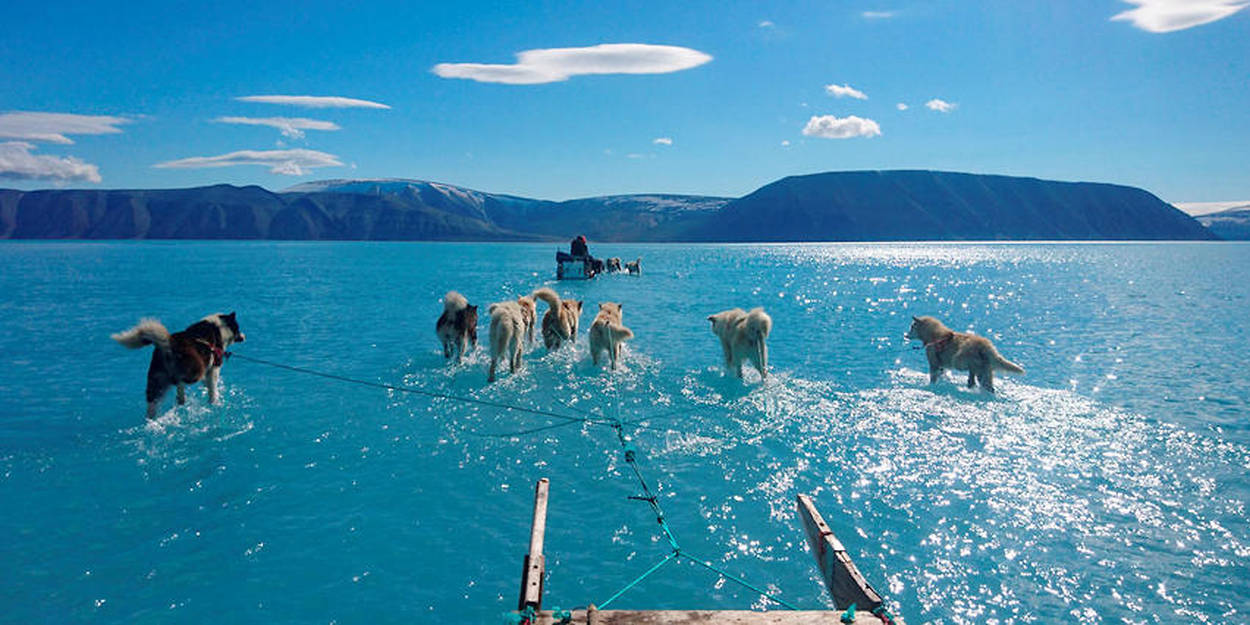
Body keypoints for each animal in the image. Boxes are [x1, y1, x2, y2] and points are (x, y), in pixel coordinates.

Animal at [113, 312, 247, 420]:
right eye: (238, 328)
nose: (244, 336)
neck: (218, 327)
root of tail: (169, 343)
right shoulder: (214, 366)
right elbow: (212, 388)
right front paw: (214, 400)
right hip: (195, 370)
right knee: (180, 381)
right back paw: (180, 398)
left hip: (156, 380)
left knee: (154, 401)